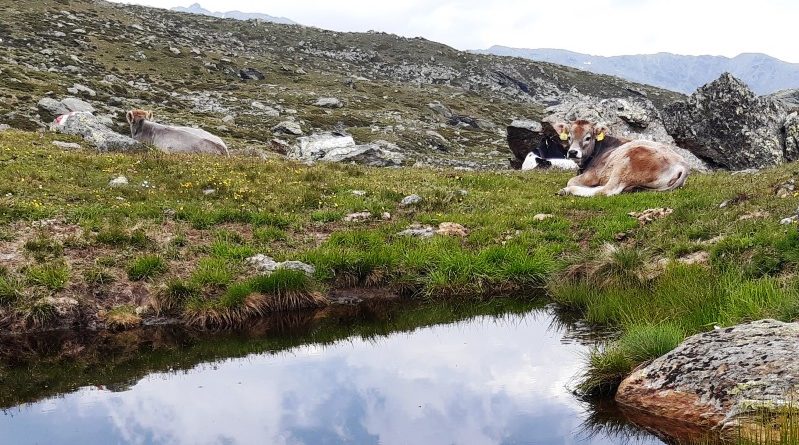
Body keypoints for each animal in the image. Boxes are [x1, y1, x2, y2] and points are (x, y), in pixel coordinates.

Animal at [552, 119, 692, 196]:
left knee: (606, 190)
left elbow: (571, 180)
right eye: (569, 137)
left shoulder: (593, 174)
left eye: (588, 137)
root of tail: (683, 165)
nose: (573, 152)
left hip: (626, 164)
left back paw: (567, 190)